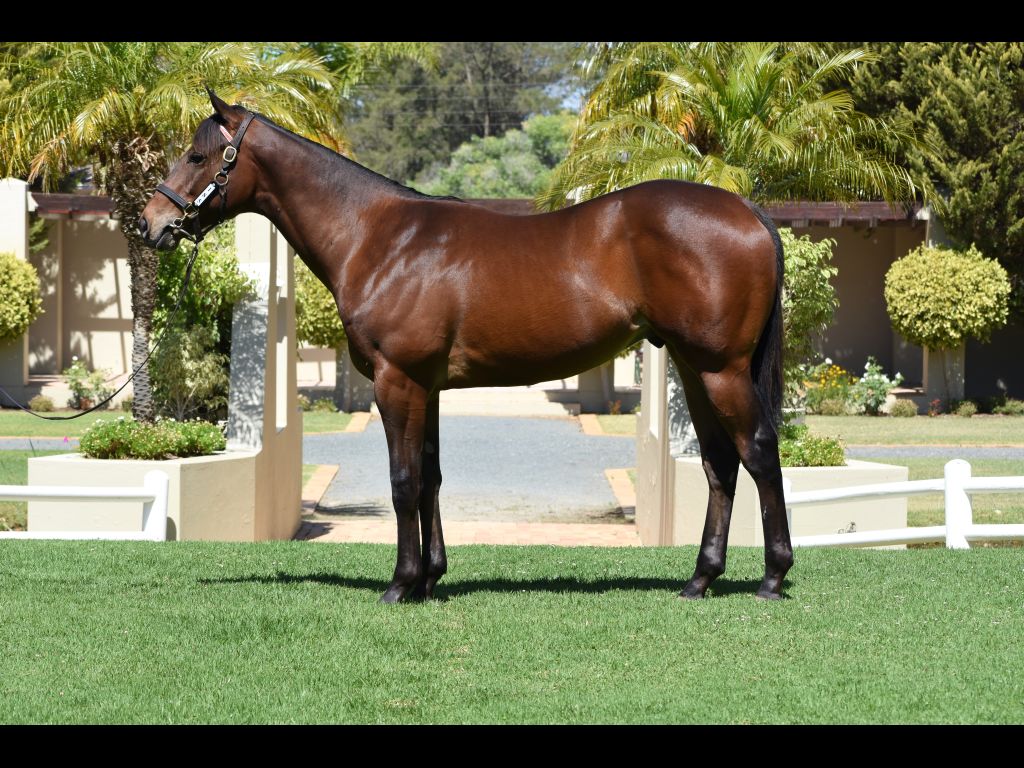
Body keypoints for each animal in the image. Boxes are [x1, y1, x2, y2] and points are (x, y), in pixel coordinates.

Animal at [140, 91, 792, 603]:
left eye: (198, 156)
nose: (152, 223)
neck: (378, 237)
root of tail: (748, 212)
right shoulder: (425, 386)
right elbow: (430, 476)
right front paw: (431, 577)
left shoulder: (396, 380)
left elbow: (403, 480)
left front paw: (401, 583)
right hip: (693, 367)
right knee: (719, 464)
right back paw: (700, 579)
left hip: (721, 369)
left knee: (758, 452)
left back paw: (772, 577)